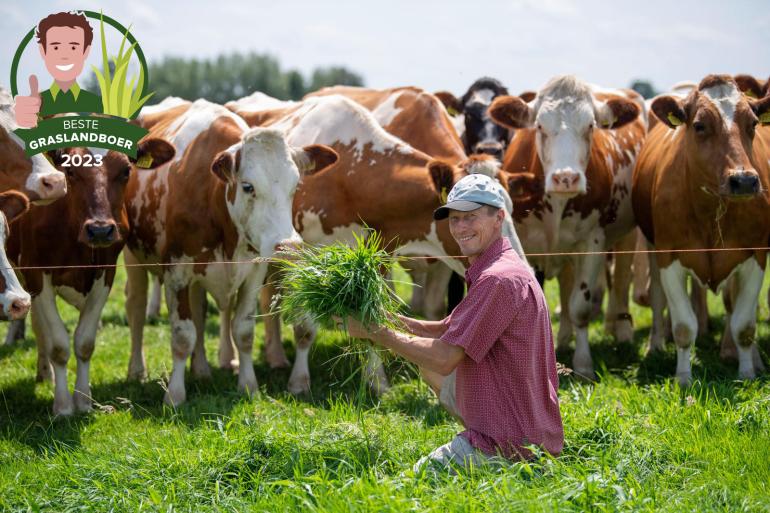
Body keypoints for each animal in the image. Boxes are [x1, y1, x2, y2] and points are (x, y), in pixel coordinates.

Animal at [7, 142, 173, 414]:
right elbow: (58, 344)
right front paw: (63, 406)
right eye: (70, 171)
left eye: (126, 171)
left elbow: (84, 343)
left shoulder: (105, 275)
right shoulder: (37, 274)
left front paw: (83, 401)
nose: (100, 229)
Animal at [124, 98, 334, 406]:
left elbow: (242, 331)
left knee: (199, 313)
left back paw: (201, 369)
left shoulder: (253, 271)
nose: (288, 247)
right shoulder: (176, 271)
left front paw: (248, 385)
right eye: (248, 186)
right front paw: (174, 395)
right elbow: (182, 335)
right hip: (133, 259)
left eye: (296, 186)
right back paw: (136, 370)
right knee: (137, 310)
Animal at [488, 77, 644, 380]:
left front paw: (583, 364)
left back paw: (621, 331)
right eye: (539, 126)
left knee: (620, 280)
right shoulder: (529, 245)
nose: (566, 178)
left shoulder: (592, 243)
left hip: (626, 236)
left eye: (591, 125)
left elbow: (580, 306)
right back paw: (562, 339)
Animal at [632, 74, 768, 382]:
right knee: (657, 298)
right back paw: (655, 344)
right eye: (699, 125)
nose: (744, 181)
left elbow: (744, 324)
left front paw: (747, 373)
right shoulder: (669, 257)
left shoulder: (756, 256)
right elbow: (684, 326)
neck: (710, 213)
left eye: (753, 123)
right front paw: (683, 378)